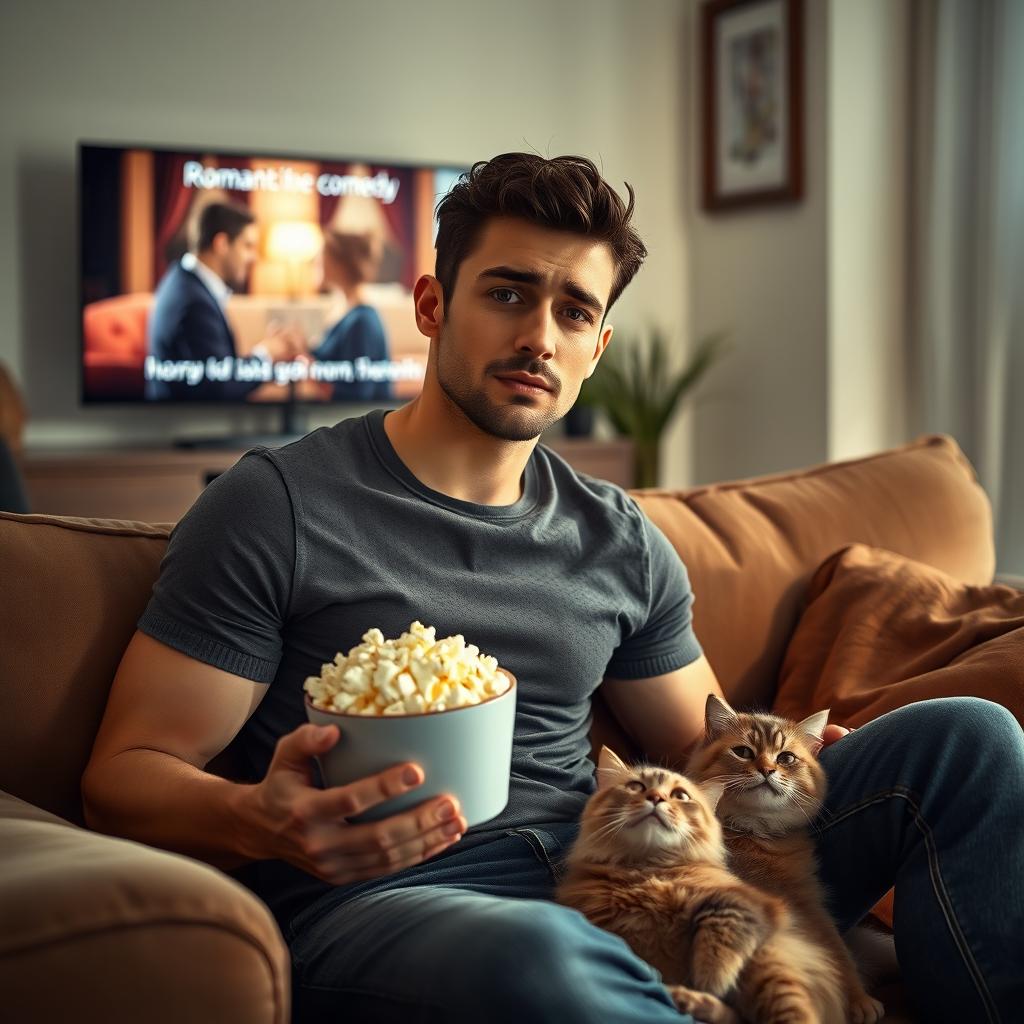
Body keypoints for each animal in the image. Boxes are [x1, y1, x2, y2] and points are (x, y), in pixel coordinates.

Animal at [557, 745, 843, 1024]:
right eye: (636, 787)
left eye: (680, 796)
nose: (656, 798)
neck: (647, 875)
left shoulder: (747, 903)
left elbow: (717, 936)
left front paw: (709, 982)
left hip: (770, 966)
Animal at [688, 696, 888, 1024]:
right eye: (743, 752)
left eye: (786, 758)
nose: (767, 770)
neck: (753, 831)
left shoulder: (811, 903)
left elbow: (838, 952)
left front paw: (857, 997)